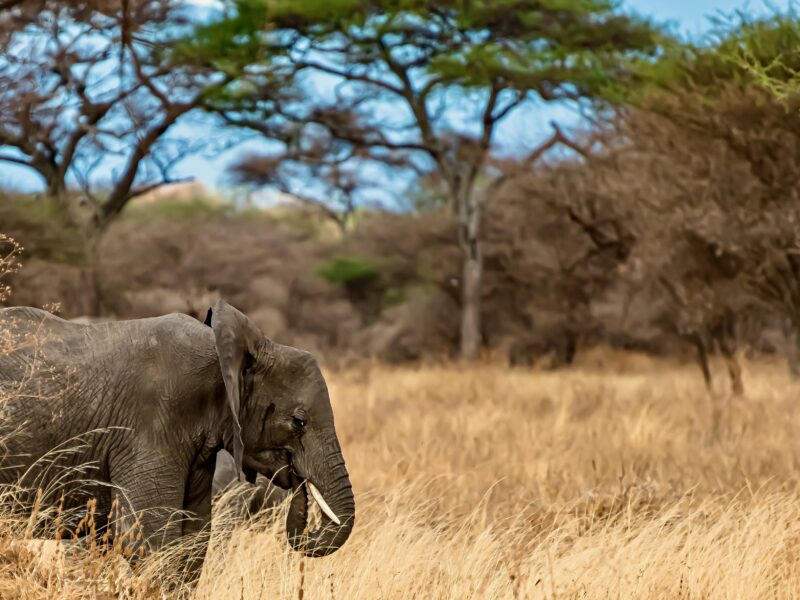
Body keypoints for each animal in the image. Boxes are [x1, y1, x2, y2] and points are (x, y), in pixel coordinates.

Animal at [0, 300, 354, 566]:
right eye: (299, 421)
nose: (297, 481)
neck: (221, 351)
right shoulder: (150, 424)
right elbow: (150, 540)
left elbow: (194, 540)